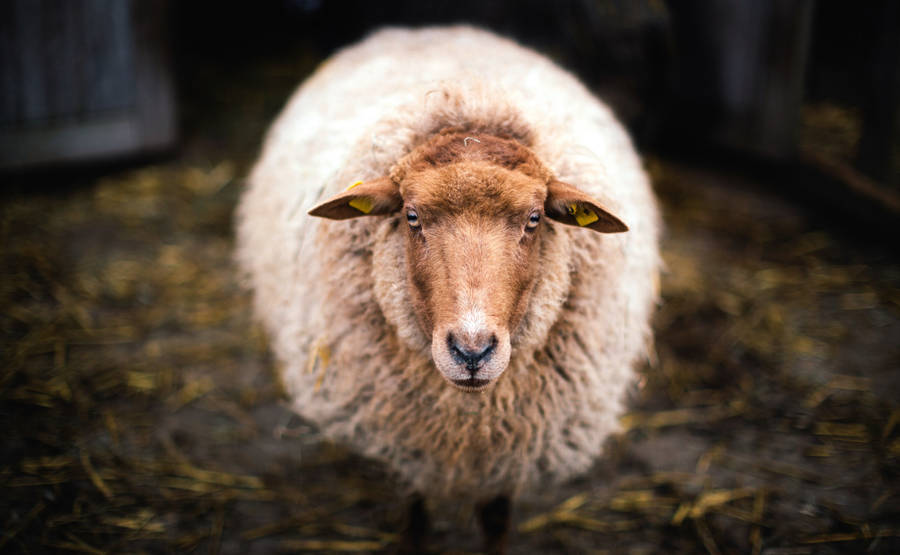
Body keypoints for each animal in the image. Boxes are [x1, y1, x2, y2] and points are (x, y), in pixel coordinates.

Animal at [236, 26, 660, 552]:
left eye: (534, 219)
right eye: (412, 216)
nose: (472, 351)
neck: (467, 419)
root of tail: (428, 30)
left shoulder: (508, 453)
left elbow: (496, 519)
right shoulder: (410, 446)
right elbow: (416, 514)